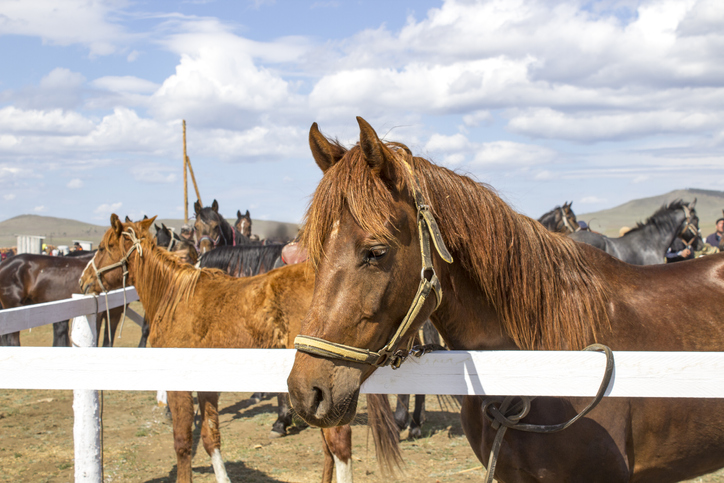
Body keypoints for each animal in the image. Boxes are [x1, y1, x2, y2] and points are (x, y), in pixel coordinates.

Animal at [80, 215, 401, 483]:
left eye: (103, 247)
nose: (83, 280)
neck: (174, 296)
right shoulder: (207, 385)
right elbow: (211, 438)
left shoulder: (179, 385)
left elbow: (182, 443)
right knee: (328, 450)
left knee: (339, 444)